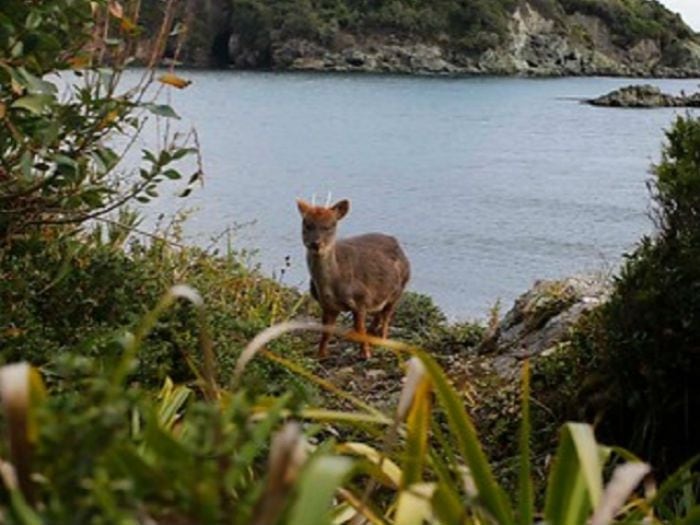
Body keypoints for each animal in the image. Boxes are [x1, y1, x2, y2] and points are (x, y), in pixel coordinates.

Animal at [296, 199, 410, 358]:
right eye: (306, 223)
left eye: (331, 225)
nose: (316, 244)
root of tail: (396, 242)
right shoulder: (327, 305)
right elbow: (326, 332)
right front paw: (321, 354)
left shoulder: (361, 298)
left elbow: (359, 328)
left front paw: (365, 354)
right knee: (379, 313)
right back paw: (373, 334)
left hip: (400, 288)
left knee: (387, 315)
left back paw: (383, 341)